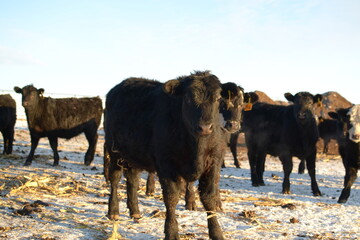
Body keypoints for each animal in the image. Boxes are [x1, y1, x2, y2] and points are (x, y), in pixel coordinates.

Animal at [105, 71, 225, 240]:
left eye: (218, 98)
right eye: (187, 98)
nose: (205, 127)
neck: (196, 148)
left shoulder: (213, 162)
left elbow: (209, 197)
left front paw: (216, 232)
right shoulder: (166, 163)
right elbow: (171, 197)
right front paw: (171, 231)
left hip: (134, 155)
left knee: (132, 180)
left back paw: (135, 211)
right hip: (114, 151)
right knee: (115, 179)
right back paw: (114, 211)